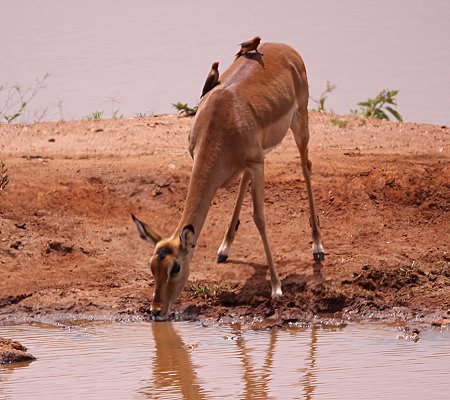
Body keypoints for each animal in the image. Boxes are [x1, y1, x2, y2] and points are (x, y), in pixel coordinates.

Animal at [132, 42, 326, 320]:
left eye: (175, 267)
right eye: (152, 266)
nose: (157, 311)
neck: (222, 118)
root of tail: (285, 48)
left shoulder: (257, 163)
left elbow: (260, 218)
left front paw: (276, 287)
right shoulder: (243, 162)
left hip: (299, 125)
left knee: (306, 166)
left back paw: (318, 247)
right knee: (247, 180)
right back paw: (224, 249)